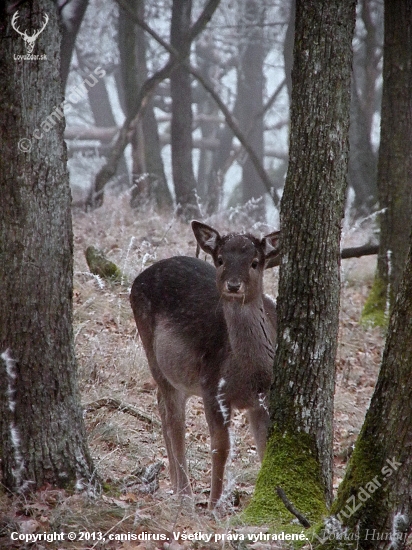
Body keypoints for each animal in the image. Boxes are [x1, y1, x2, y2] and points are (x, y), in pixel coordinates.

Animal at [130, 220, 278, 508]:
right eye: (220, 260)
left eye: (255, 262)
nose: (233, 285)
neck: (251, 374)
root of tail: (139, 277)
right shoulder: (212, 388)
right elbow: (220, 448)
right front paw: (213, 506)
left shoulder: (264, 398)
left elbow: (265, 447)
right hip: (153, 353)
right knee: (173, 417)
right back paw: (185, 494)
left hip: (182, 376)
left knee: (162, 405)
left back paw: (176, 484)